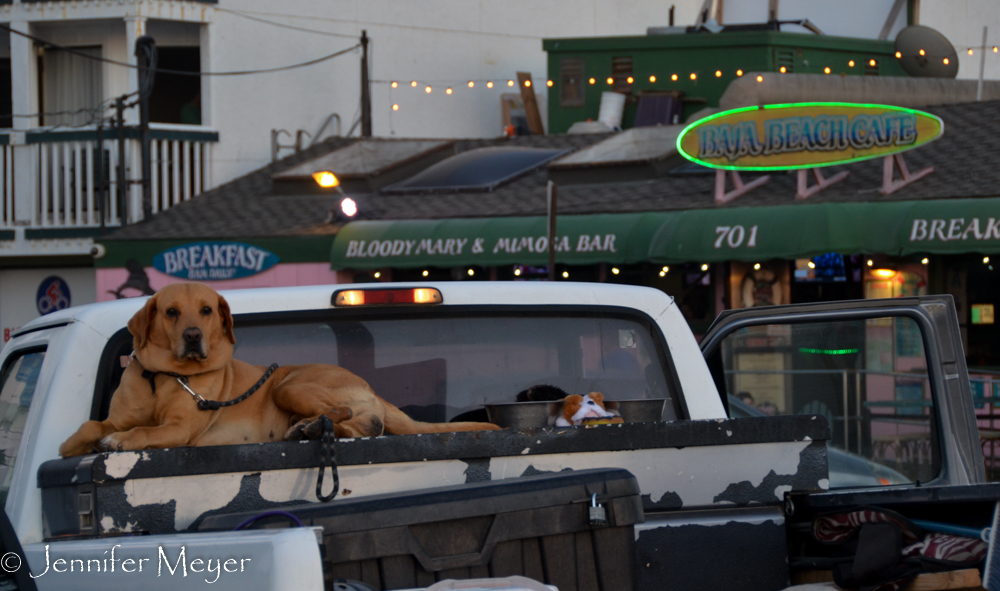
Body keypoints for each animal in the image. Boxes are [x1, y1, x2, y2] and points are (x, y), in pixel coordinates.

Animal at [56, 282, 500, 458]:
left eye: (206, 310)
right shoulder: (118, 414)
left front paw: (119, 441)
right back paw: (308, 429)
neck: (164, 378)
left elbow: (143, 432)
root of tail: (370, 386)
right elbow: (95, 424)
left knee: (342, 414)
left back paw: (309, 427)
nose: (194, 335)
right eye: (171, 312)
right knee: (357, 426)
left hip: (289, 385)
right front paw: (73, 443)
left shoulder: (178, 429)